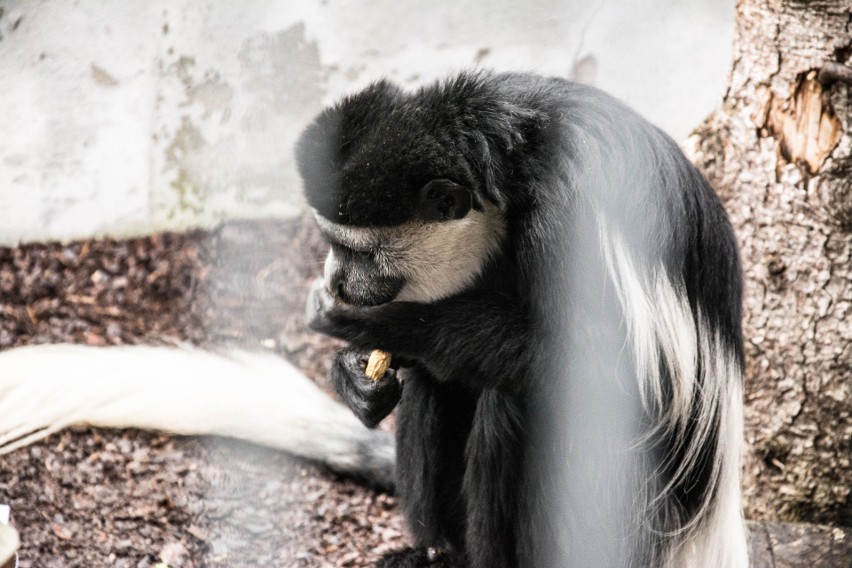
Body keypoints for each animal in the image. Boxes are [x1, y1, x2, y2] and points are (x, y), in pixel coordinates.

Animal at [298, 72, 744, 568]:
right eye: (332, 244)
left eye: (356, 252)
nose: (336, 282)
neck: (515, 169)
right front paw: (355, 375)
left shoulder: (570, 219)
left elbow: (610, 373)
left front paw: (384, 324)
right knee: (439, 382)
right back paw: (435, 553)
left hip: (617, 510)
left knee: (513, 402)